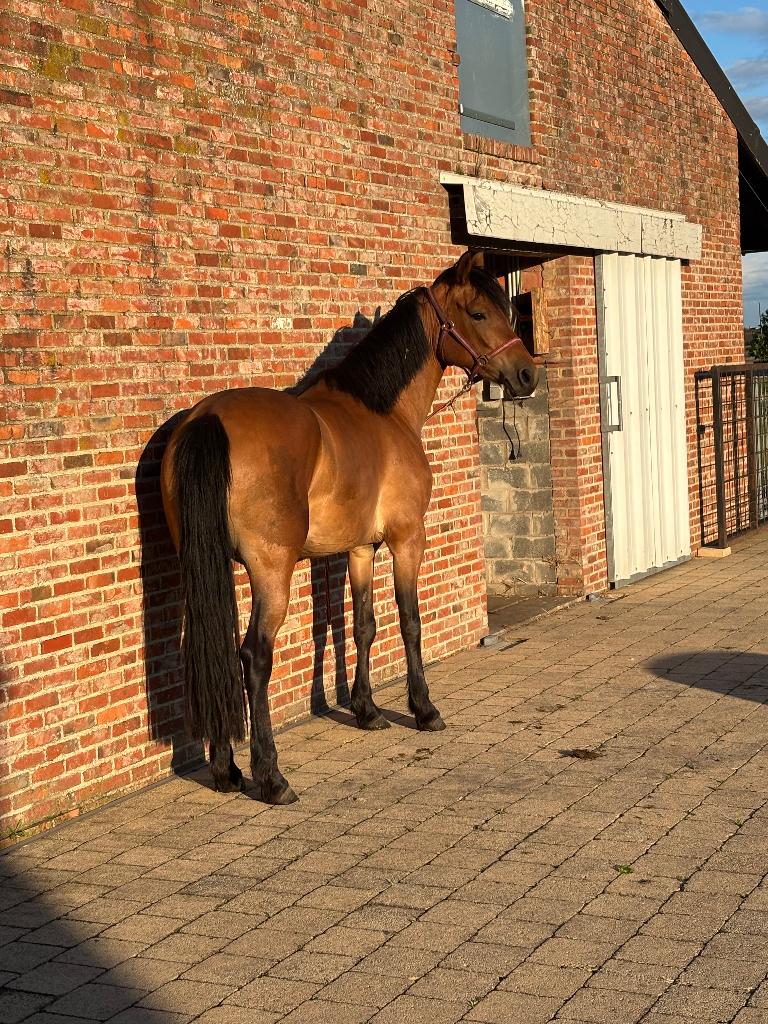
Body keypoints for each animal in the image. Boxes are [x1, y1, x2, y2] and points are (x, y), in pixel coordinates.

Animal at [160, 250, 538, 804]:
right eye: (479, 313)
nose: (527, 375)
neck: (382, 412)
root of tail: (208, 418)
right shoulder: (406, 540)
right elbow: (408, 622)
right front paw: (424, 709)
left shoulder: (360, 549)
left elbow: (361, 626)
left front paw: (366, 710)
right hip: (272, 572)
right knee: (254, 656)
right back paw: (271, 777)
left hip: (204, 567)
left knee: (213, 651)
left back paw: (227, 771)